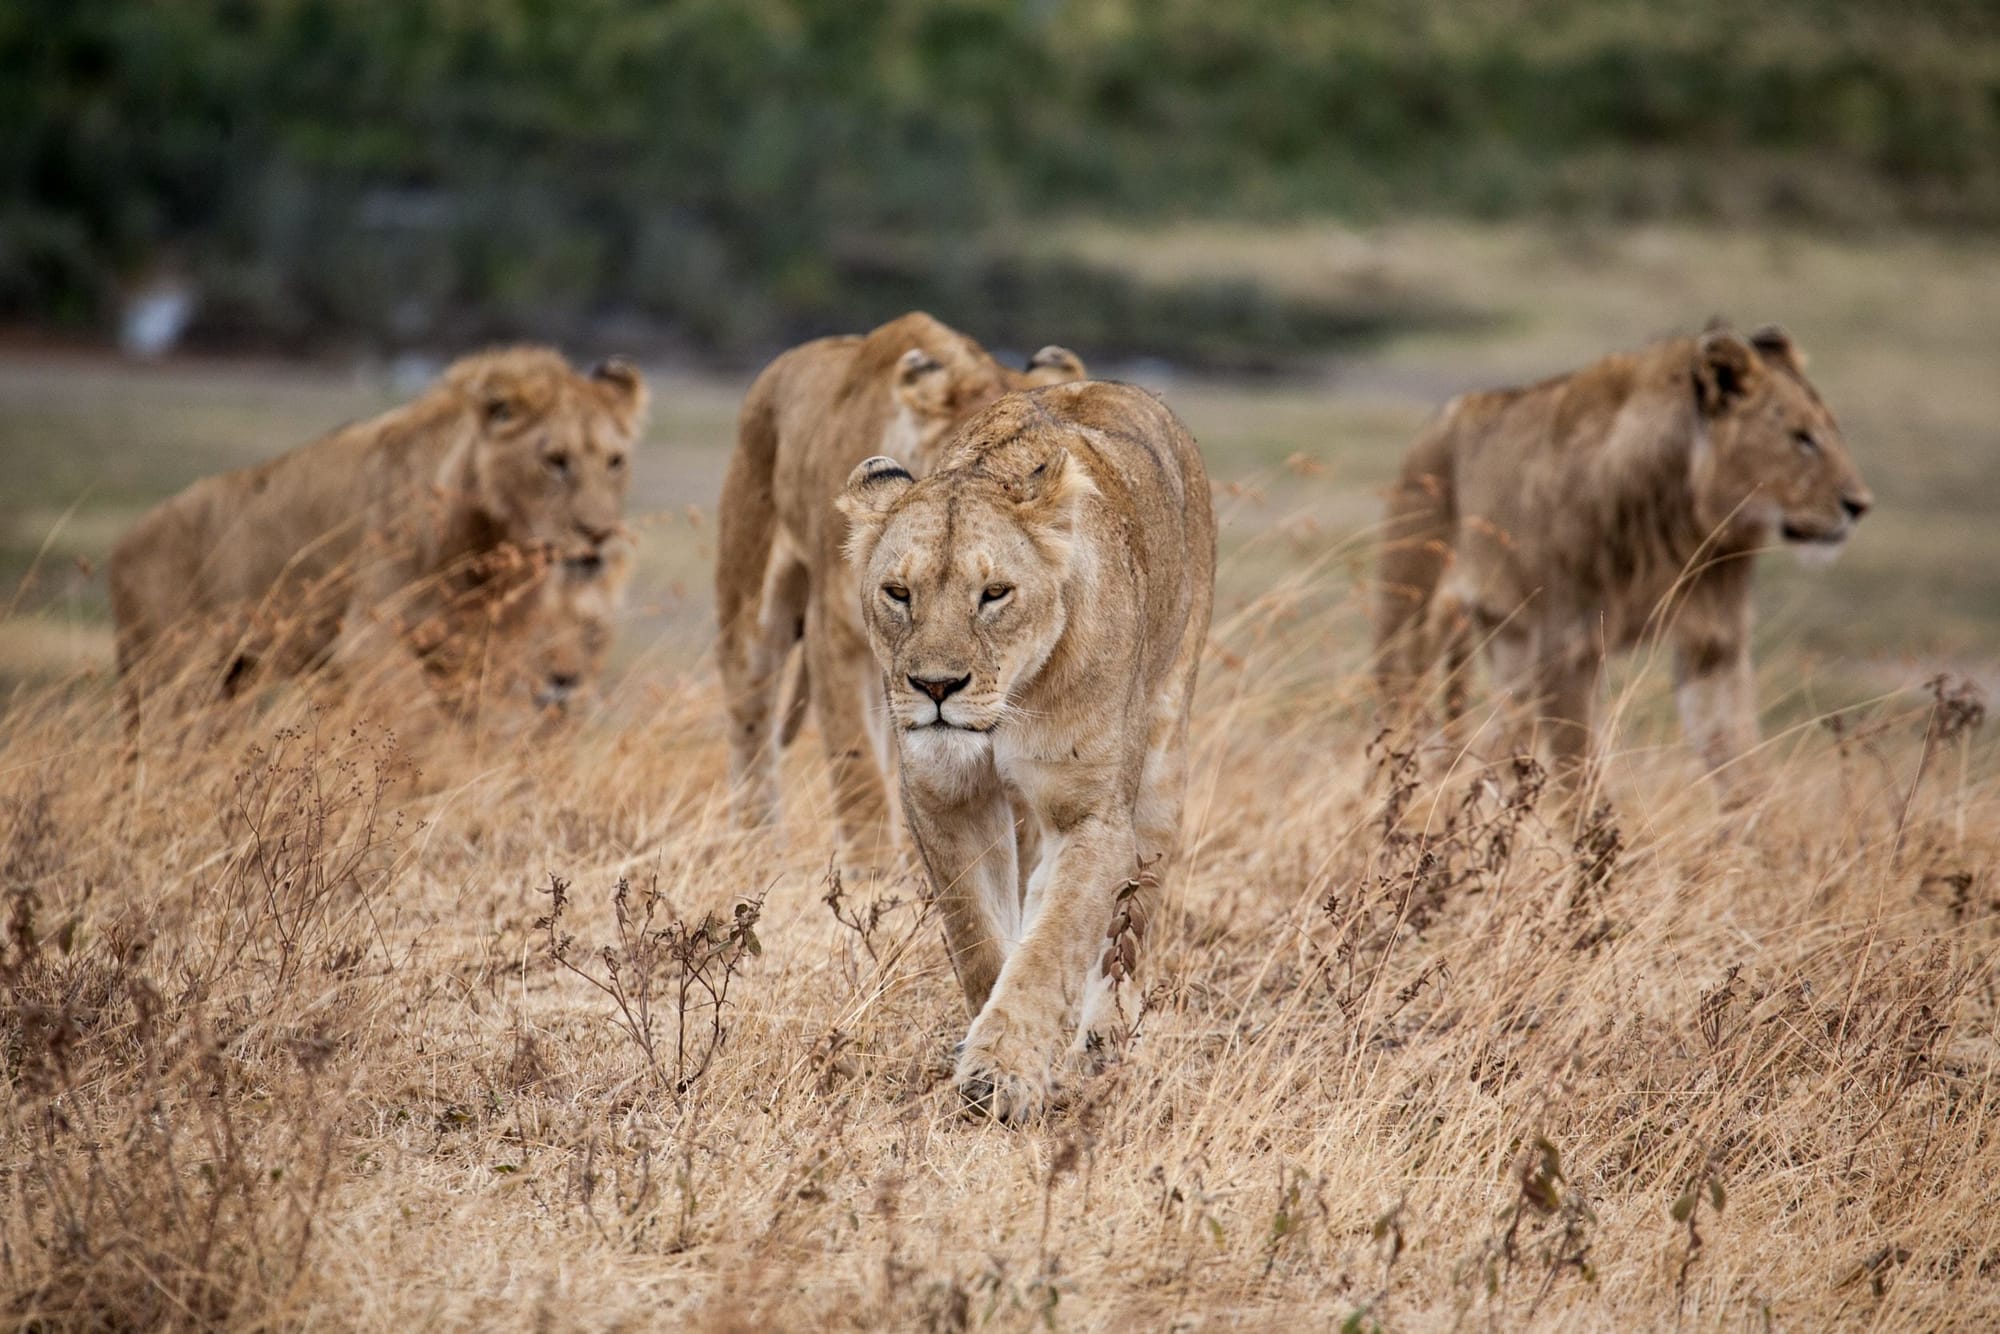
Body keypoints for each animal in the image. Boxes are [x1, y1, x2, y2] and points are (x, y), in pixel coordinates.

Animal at [109, 344, 644, 736]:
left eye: (615, 461)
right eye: (555, 461)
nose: (599, 534)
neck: (486, 547)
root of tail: (125, 541)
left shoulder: (478, 653)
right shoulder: (370, 642)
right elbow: (415, 731)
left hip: (232, 677)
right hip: (170, 677)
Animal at [716, 314, 1088, 876]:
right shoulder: (836, 637)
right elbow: (857, 771)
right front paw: (869, 875)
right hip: (751, 603)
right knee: (751, 724)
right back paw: (755, 849)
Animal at [836, 380, 1208, 1120]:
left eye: (994, 594)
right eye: (899, 593)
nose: (936, 687)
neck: (1007, 707)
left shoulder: (1092, 815)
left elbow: (1053, 945)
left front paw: (1001, 1076)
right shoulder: (943, 797)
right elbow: (980, 936)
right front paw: (989, 1042)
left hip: (1162, 763)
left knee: (1130, 925)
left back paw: (1104, 1039)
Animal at [1376, 324, 1872, 792]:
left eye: (1832, 433)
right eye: (1801, 438)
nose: (1860, 505)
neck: (1684, 525)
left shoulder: (1715, 644)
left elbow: (1742, 772)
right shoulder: (1568, 649)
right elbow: (1583, 789)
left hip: (1509, 643)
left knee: (1497, 751)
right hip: (1412, 623)